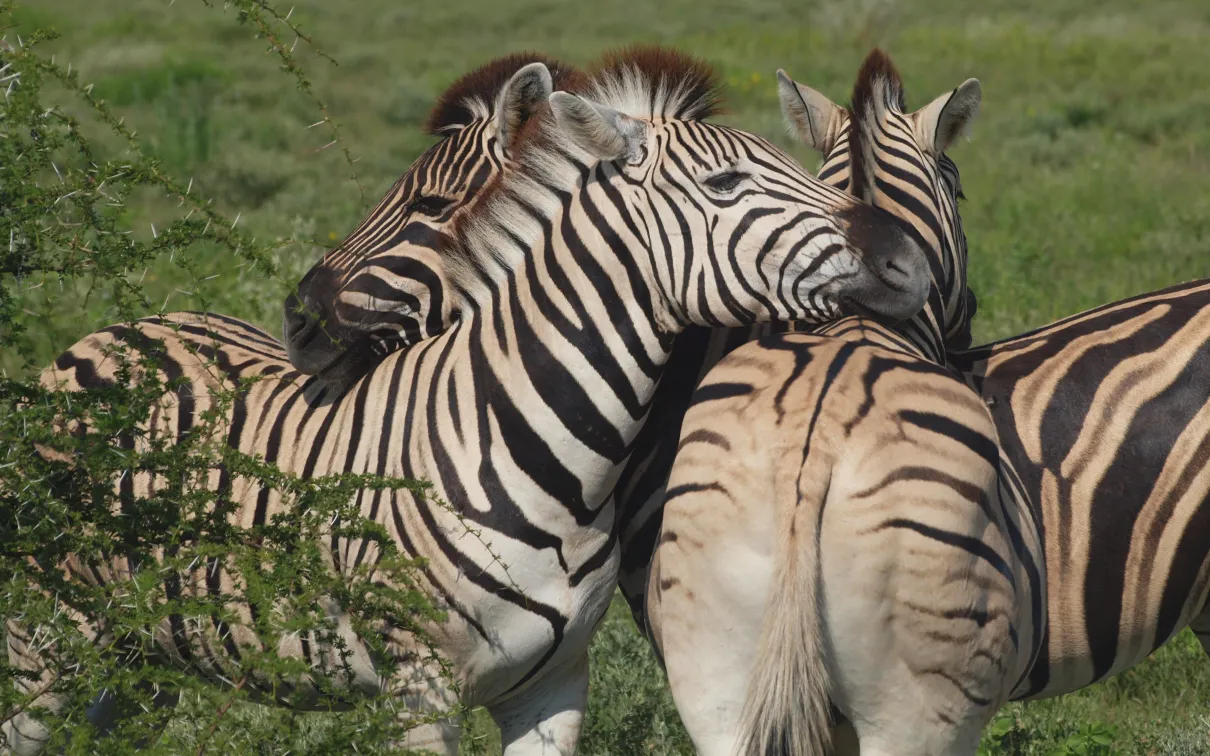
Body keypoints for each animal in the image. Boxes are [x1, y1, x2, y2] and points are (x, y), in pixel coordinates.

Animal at [11, 46, 930, 756]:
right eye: (728, 181)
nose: (907, 259)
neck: (552, 460)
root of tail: (116, 332)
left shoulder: (553, 689)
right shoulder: (417, 693)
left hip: (141, 651)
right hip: (48, 640)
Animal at [645, 50, 1046, 755]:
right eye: (961, 192)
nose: (970, 320)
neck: (858, 316)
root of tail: (811, 452)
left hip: (714, 669)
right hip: (921, 705)